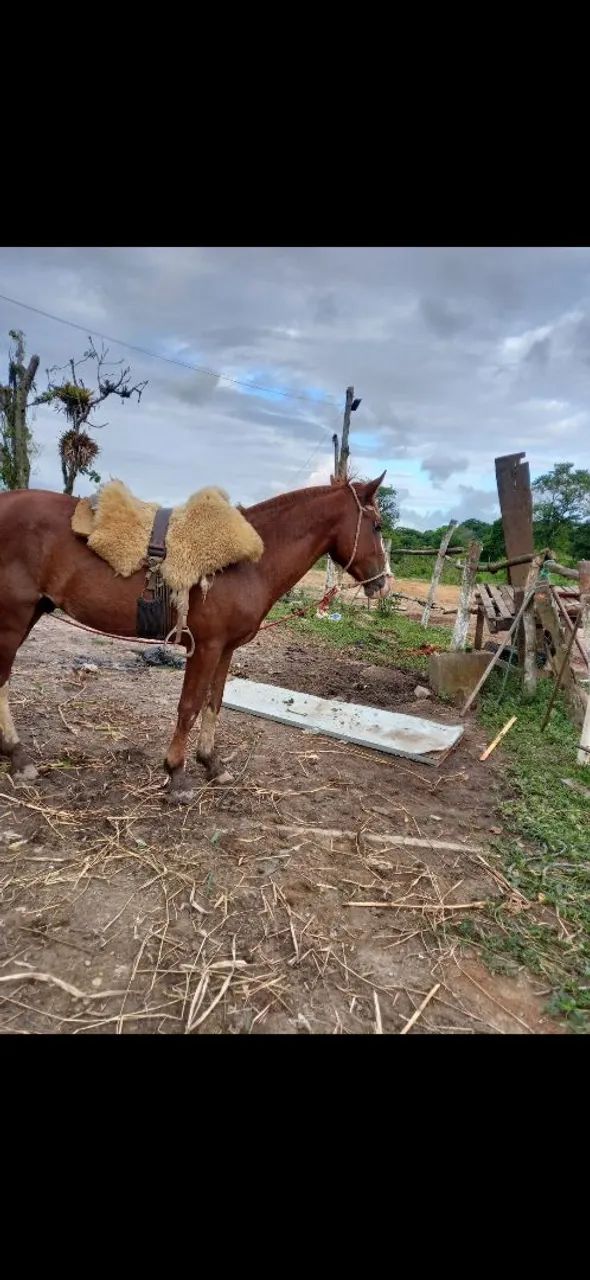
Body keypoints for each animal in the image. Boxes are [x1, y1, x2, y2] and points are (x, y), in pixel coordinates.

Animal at [0, 473, 391, 799]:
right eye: (376, 525)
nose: (384, 583)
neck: (249, 565)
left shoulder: (225, 649)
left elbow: (212, 702)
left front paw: (212, 764)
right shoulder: (205, 647)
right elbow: (188, 706)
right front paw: (176, 775)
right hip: (14, 618)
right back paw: (18, 758)